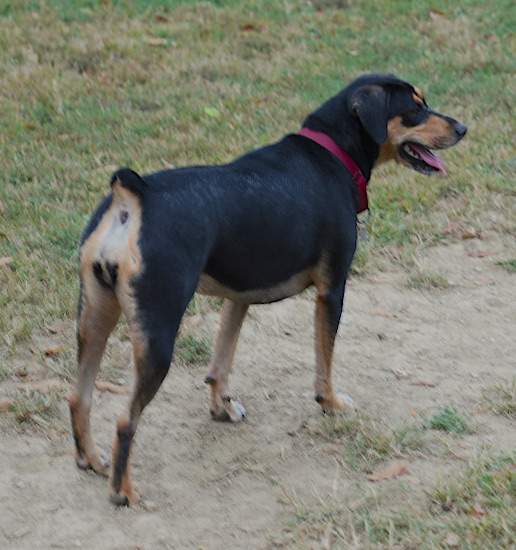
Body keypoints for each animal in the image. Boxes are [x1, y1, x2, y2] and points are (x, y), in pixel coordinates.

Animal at [69, 74, 468, 508]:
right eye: (415, 110)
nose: (463, 128)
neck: (330, 153)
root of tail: (133, 197)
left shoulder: (238, 298)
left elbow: (220, 362)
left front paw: (221, 409)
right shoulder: (332, 291)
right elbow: (324, 363)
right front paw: (330, 403)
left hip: (94, 319)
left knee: (79, 397)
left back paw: (90, 459)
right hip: (158, 336)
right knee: (126, 419)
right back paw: (122, 491)